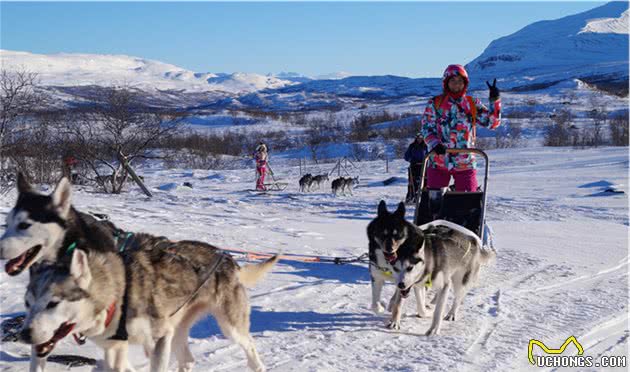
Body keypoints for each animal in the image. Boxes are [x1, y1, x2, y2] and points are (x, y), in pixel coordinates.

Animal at [24, 243, 278, 370]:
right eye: (27, 303)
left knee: (251, 349)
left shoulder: (159, 339)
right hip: (177, 330)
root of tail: (228, 259)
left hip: (229, 327)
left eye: (53, 303)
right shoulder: (115, 348)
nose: (23, 334)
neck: (118, 294)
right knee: (187, 360)